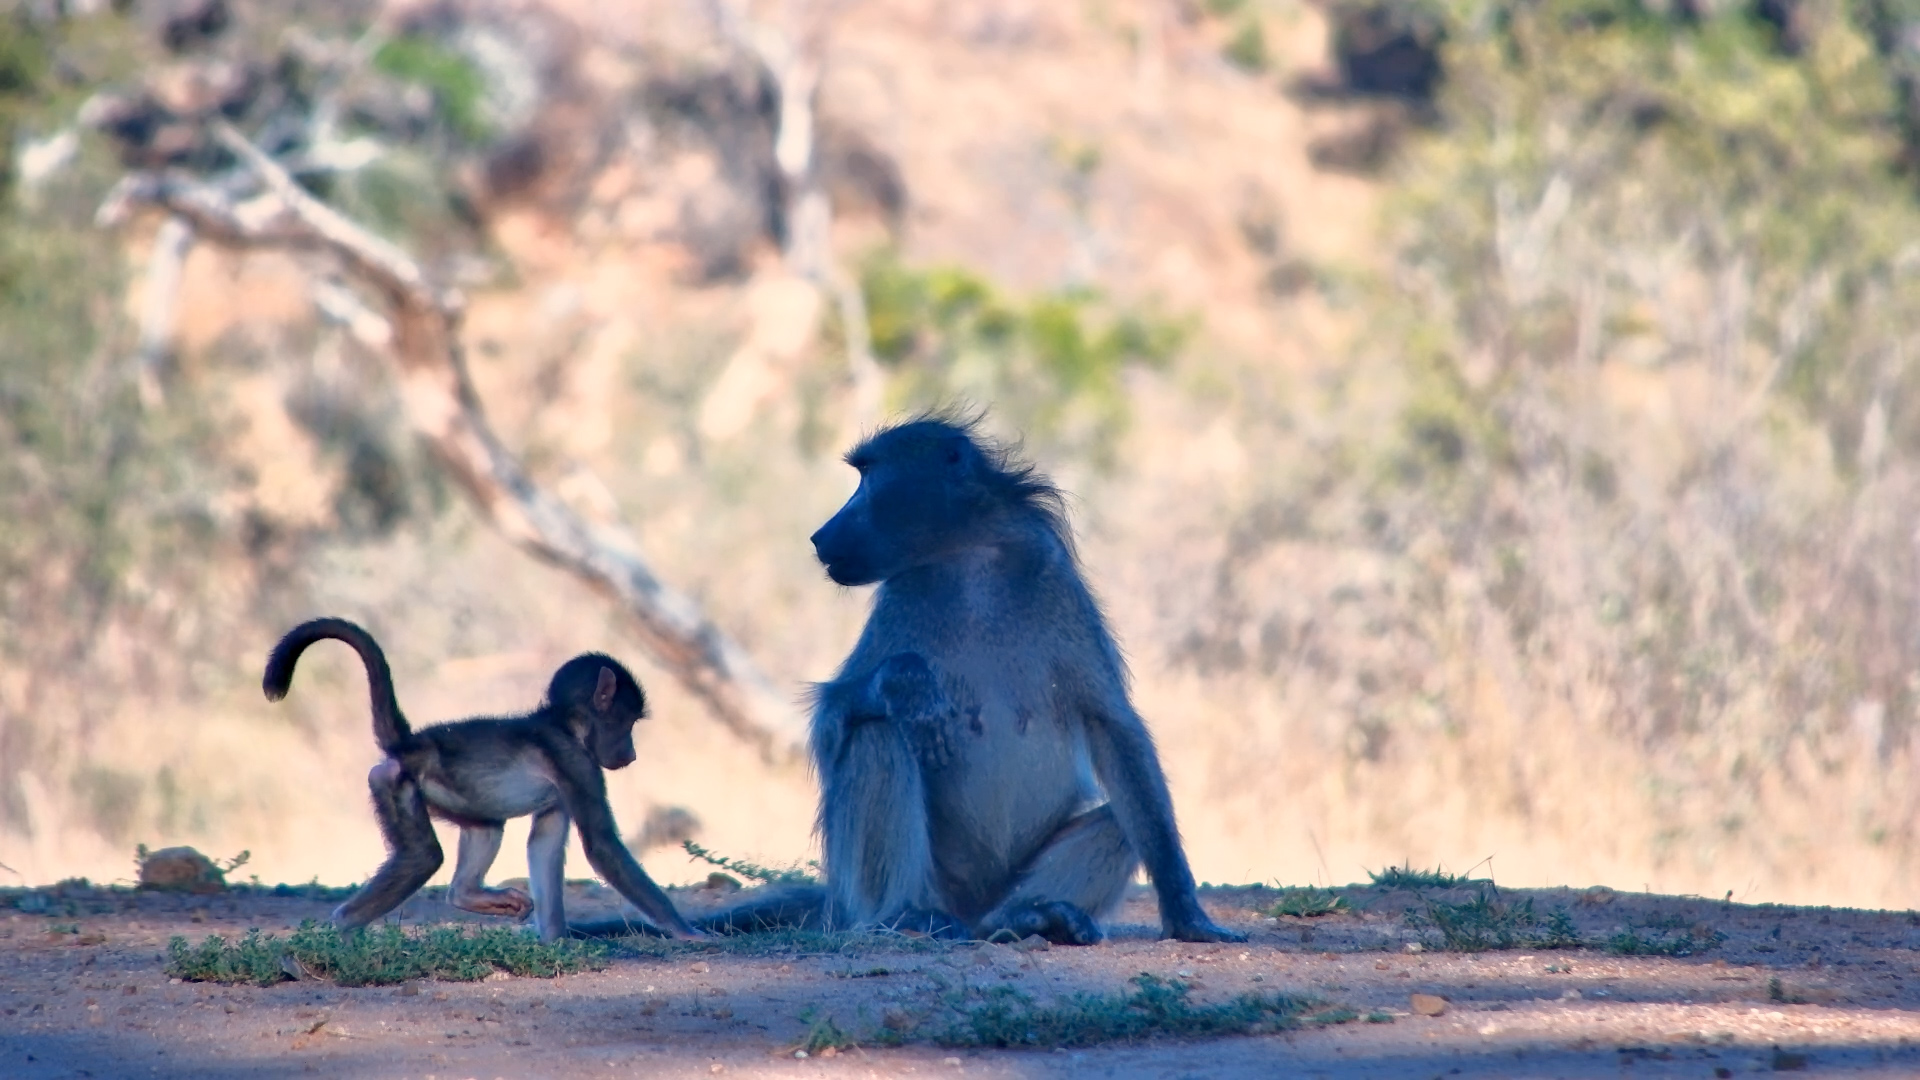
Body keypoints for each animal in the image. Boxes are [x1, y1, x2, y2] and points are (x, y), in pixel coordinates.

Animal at [262, 617, 699, 942]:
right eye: (628, 723)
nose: (631, 753)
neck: (564, 725)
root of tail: (412, 744)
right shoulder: (578, 764)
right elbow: (603, 847)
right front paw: (687, 931)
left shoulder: (567, 782)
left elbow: (543, 845)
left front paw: (556, 940)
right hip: (395, 782)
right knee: (423, 856)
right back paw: (337, 932)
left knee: (487, 827)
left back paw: (468, 896)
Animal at [659, 413, 1245, 945]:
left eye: (866, 477)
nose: (820, 535)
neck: (969, 556)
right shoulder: (898, 601)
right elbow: (832, 723)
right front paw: (902, 684)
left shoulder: (1058, 586)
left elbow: (1114, 730)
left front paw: (1187, 913)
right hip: (900, 889)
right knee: (877, 740)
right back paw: (903, 915)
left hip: (1001, 885)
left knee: (1123, 819)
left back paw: (1030, 919)